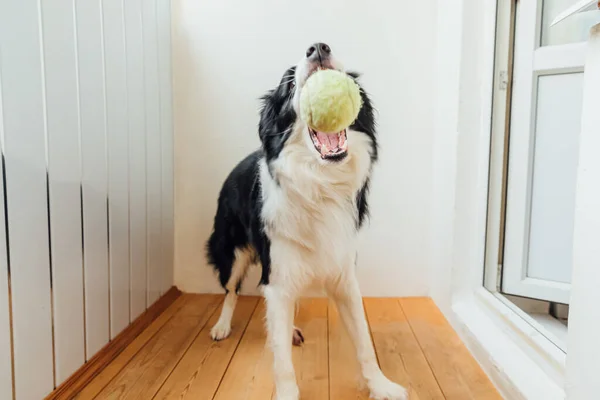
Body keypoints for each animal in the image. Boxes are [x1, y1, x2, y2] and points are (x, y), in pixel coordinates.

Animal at [206, 43, 408, 400]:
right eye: (288, 84)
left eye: (344, 75)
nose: (318, 47)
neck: (319, 183)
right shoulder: (277, 275)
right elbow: (283, 363)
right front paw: (287, 391)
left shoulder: (344, 275)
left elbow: (364, 342)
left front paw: (381, 385)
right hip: (232, 251)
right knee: (230, 290)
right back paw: (222, 326)